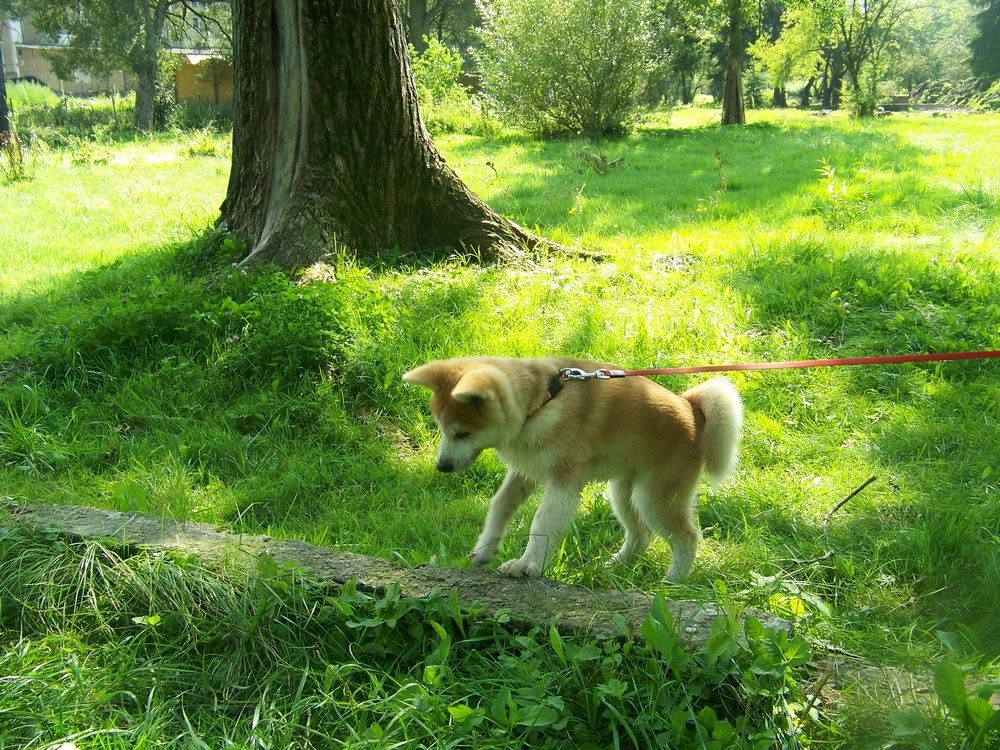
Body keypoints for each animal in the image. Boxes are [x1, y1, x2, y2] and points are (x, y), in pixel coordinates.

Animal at [403, 357, 742, 581]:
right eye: (442, 428)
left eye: (462, 433)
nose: (442, 466)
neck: (541, 402)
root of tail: (693, 410)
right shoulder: (525, 472)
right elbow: (499, 506)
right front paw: (485, 549)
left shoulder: (562, 482)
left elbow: (541, 523)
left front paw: (527, 566)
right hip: (624, 492)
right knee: (640, 534)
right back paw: (616, 565)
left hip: (655, 496)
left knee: (687, 537)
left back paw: (672, 581)